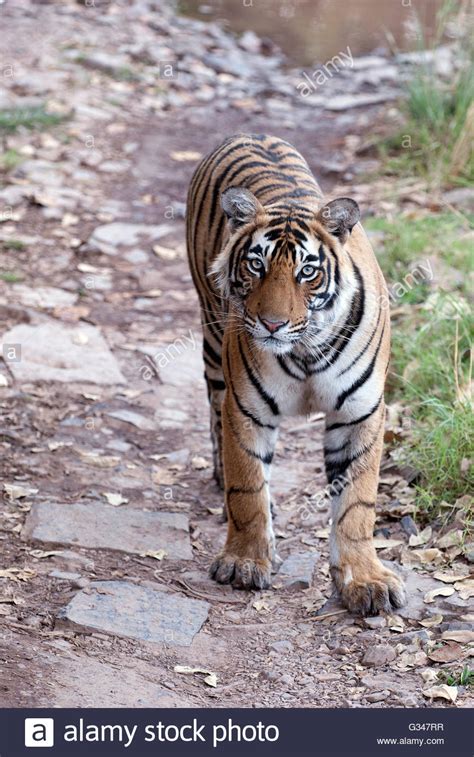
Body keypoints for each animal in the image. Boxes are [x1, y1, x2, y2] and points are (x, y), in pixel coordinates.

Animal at [187, 134, 406, 616]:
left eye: (308, 271)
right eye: (256, 265)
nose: (272, 324)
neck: (305, 349)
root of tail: (248, 133)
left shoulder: (360, 414)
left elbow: (357, 503)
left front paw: (365, 580)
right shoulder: (245, 409)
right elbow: (247, 488)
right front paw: (244, 562)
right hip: (211, 337)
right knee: (214, 420)